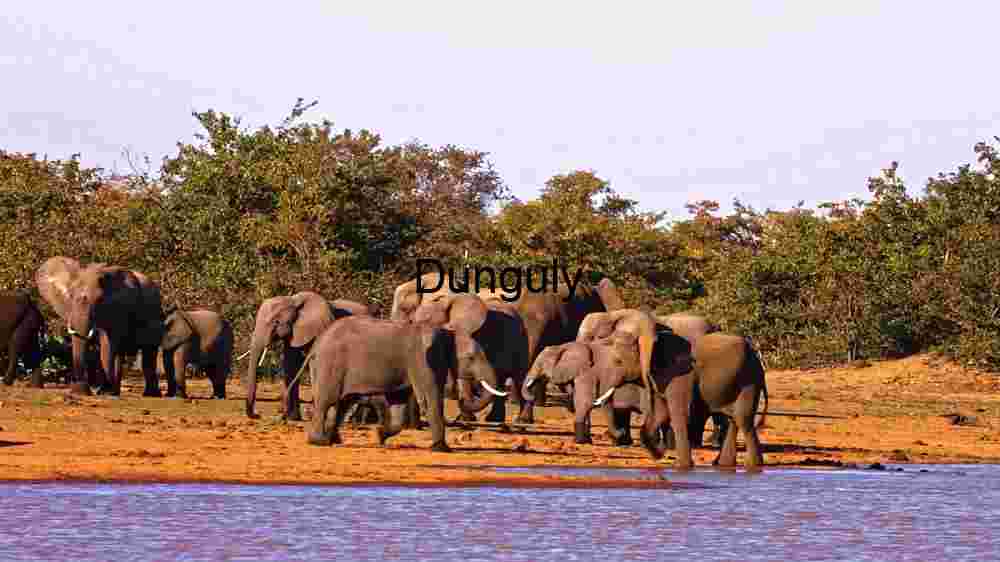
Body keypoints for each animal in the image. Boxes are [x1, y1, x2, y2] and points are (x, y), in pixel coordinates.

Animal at [35, 257, 163, 396]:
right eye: (70, 296)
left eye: (99, 300)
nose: (79, 390)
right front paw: (103, 392)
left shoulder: (119, 309)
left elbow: (106, 345)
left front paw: (104, 392)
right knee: (120, 354)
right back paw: (115, 392)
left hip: (155, 315)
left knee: (149, 353)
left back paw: (150, 394)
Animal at [244, 291, 372, 420]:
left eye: (276, 322)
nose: (257, 415)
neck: (293, 301)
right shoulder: (294, 333)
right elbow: (291, 364)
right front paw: (293, 417)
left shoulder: (319, 329)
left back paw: (354, 419)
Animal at [304, 316, 501, 451]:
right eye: (471, 358)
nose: (461, 398)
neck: (447, 333)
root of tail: (316, 345)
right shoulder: (422, 359)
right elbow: (429, 399)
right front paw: (442, 449)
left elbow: (398, 402)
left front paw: (380, 436)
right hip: (330, 364)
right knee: (326, 402)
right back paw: (319, 441)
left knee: (343, 403)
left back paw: (333, 440)